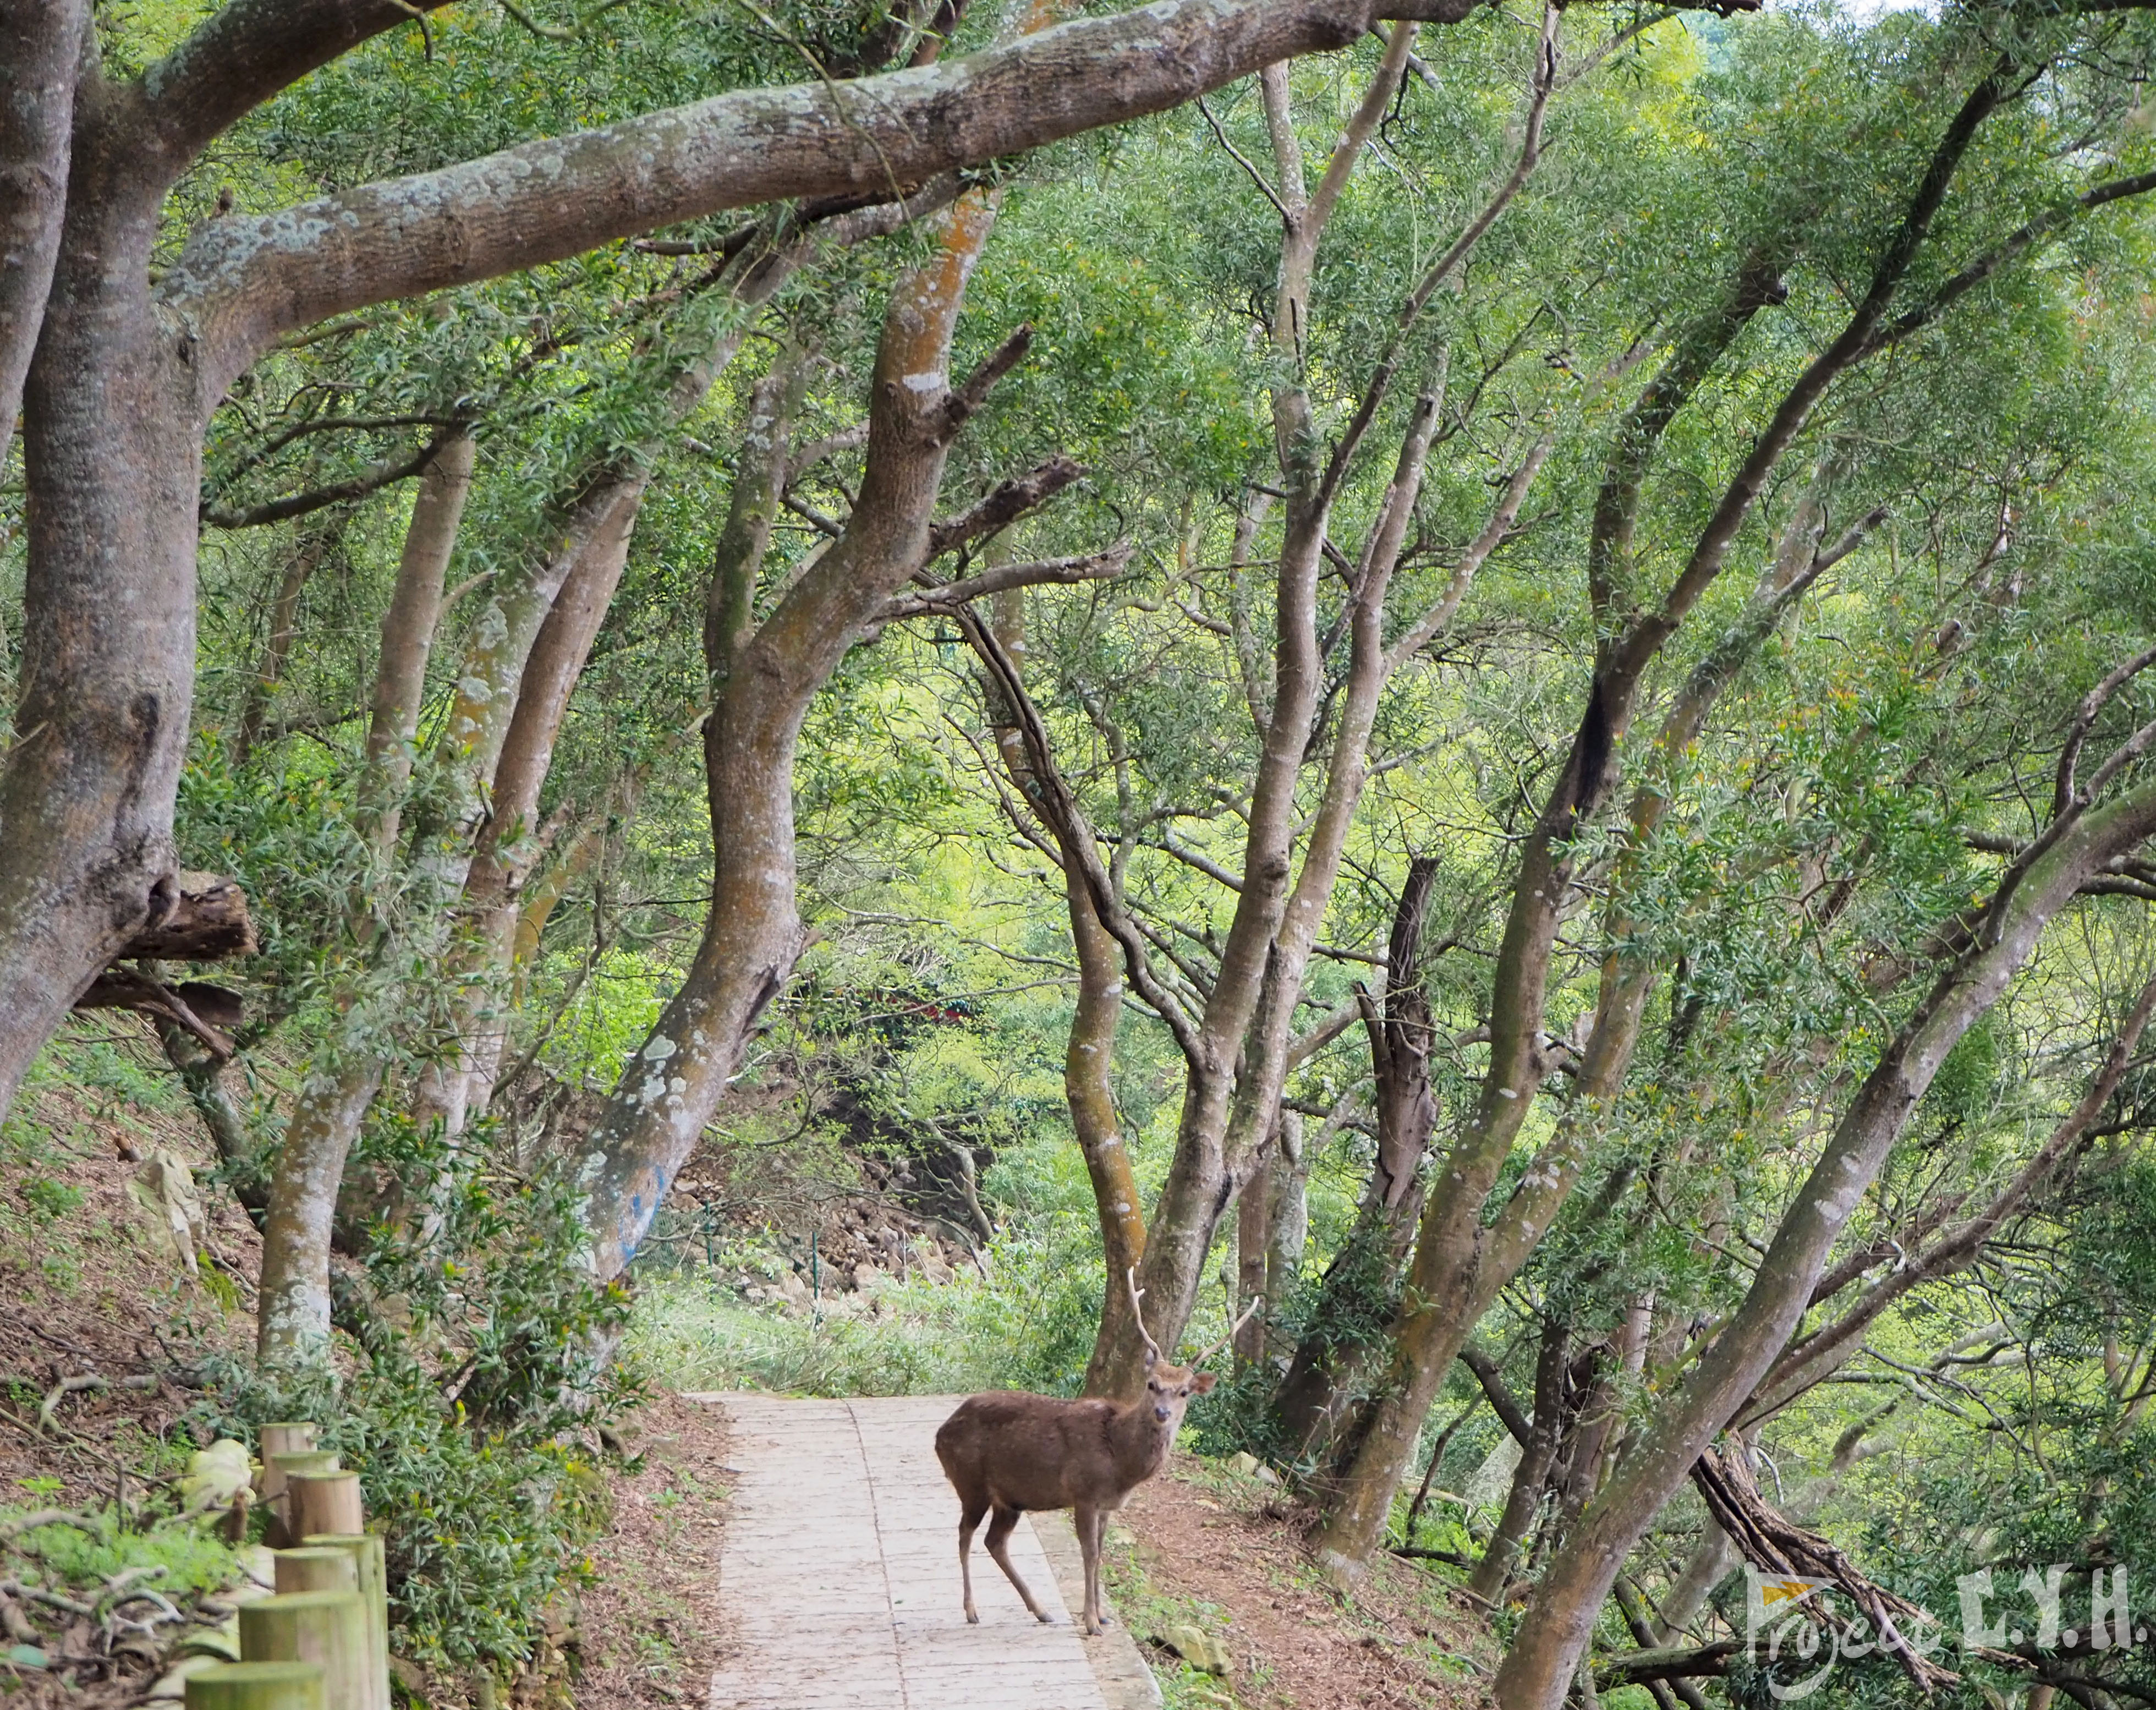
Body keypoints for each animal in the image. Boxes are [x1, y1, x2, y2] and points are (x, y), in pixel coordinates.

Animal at [927, 1259, 1250, 1630]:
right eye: (1152, 1385)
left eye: (1184, 1392)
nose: (1162, 1413)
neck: (1120, 1463)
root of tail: (940, 1434)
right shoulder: (1084, 1493)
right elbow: (1090, 1553)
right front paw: (1092, 1621)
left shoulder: (1107, 1505)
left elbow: (1102, 1553)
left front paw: (1103, 1616)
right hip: (971, 1482)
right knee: (965, 1535)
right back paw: (972, 1610)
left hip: (1009, 1499)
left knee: (994, 1542)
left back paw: (1042, 1610)